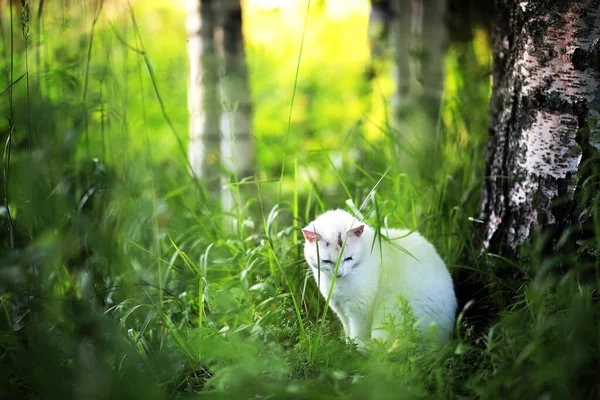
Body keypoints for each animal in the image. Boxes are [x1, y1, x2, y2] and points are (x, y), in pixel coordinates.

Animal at [302, 209, 458, 346]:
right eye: (326, 261)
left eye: (348, 258)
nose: (339, 274)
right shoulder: (340, 309)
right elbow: (347, 329)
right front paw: (348, 345)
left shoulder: (360, 309)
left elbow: (358, 333)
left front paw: (353, 350)